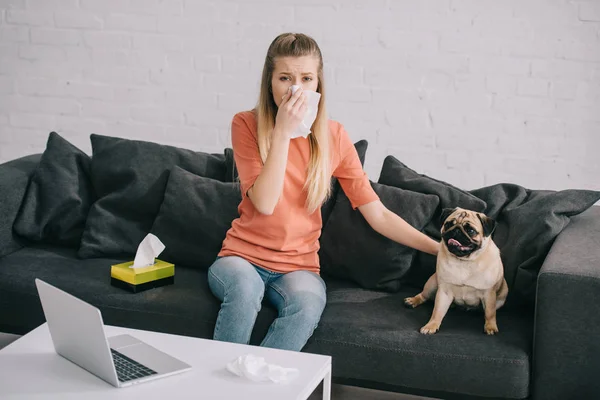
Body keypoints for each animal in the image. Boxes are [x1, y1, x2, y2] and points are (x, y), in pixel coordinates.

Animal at [406, 208, 508, 336]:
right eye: (448, 224)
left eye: (471, 230)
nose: (456, 230)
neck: (464, 261)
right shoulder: (444, 291)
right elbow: (437, 311)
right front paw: (431, 325)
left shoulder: (488, 293)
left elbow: (490, 312)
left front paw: (490, 327)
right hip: (432, 284)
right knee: (424, 296)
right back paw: (413, 300)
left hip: (502, 295)